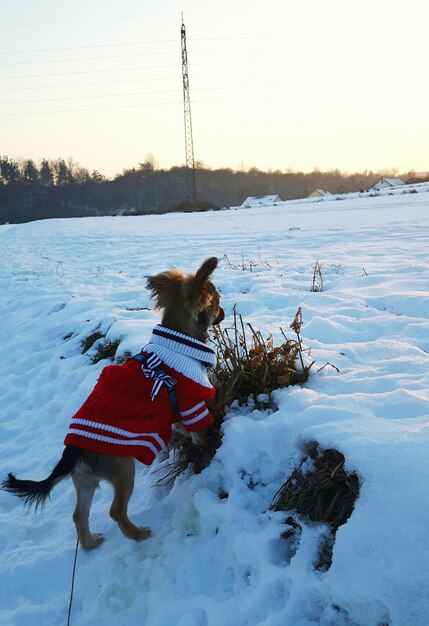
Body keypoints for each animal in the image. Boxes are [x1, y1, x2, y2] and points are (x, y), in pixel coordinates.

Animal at [1, 256, 224, 548]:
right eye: (217, 301)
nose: (223, 312)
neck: (178, 341)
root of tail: (73, 450)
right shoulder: (190, 404)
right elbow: (200, 429)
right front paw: (208, 446)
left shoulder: (175, 410)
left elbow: (181, 427)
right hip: (122, 469)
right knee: (115, 510)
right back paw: (137, 534)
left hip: (85, 480)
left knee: (78, 514)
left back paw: (90, 543)